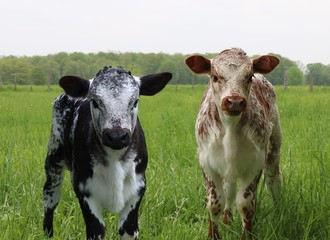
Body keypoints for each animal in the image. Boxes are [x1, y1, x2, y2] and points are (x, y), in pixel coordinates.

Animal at [42, 67, 171, 240]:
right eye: (95, 102)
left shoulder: (138, 188)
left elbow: (128, 230)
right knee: (50, 200)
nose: (116, 136)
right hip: (53, 158)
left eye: (135, 101)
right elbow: (96, 231)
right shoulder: (84, 189)